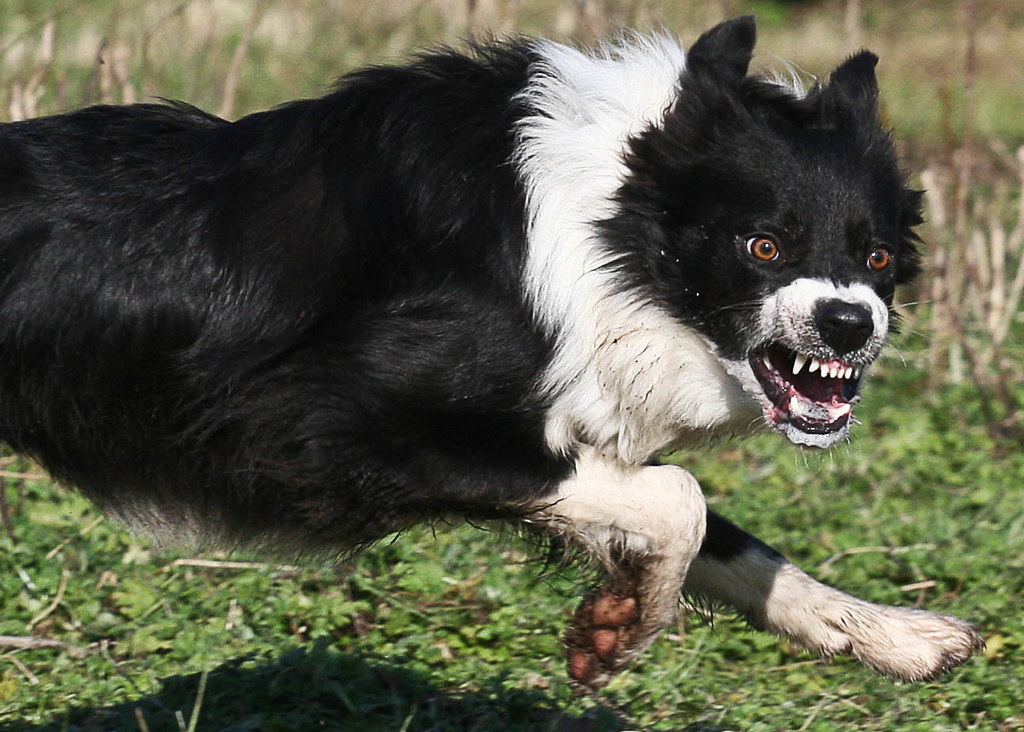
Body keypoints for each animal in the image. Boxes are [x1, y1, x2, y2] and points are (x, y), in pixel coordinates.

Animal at [0, 17, 983, 692]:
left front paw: (888, 632)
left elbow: (734, 542)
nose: (850, 326)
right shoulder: (315, 424)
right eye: (764, 245)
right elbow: (679, 500)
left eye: (878, 257)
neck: (605, 235)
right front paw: (619, 626)